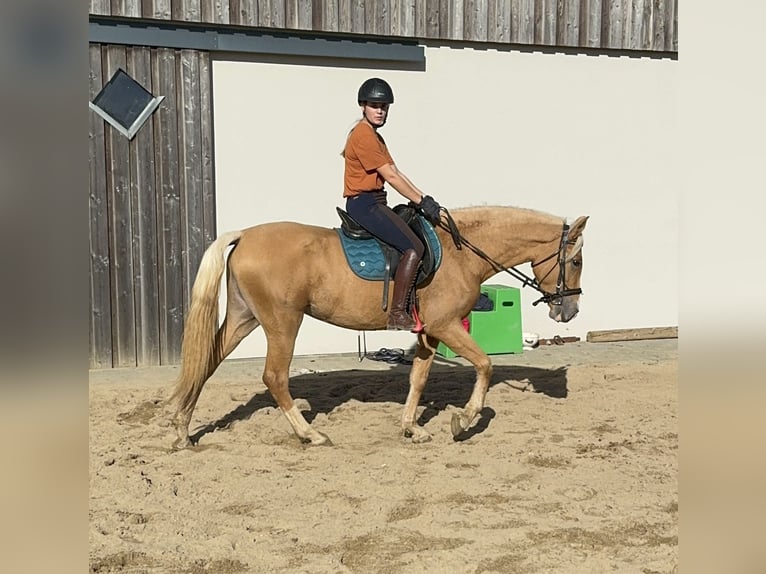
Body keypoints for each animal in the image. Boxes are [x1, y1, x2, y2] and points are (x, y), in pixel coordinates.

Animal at [170, 207, 588, 450]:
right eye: (577, 260)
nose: (569, 312)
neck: (461, 252)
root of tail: (245, 235)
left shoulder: (429, 332)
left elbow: (418, 378)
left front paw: (412, 428)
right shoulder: (447, 325)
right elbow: (486, 365)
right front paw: (462, 421)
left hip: (245, 317)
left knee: (205, 364)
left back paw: (182, 431)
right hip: (283, 322)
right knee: (274, 376)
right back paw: (310, 434)